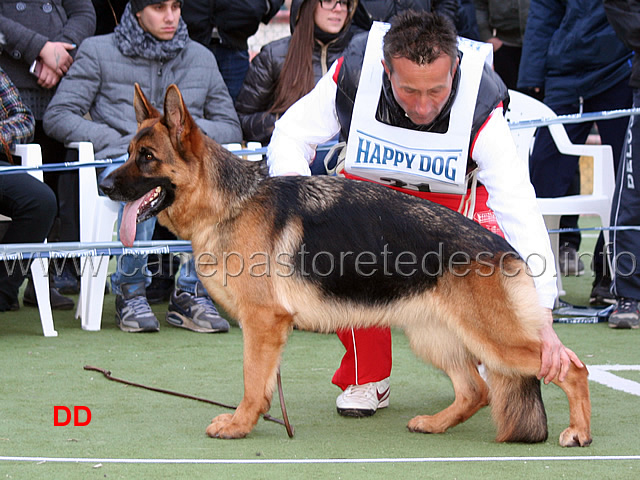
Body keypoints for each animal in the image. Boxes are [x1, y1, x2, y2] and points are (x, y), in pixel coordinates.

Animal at [97, 83, 592, 446]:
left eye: (147, 158)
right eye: (128, 153)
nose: (103, 184)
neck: (228, 203)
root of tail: (503, 246)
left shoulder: (262, 324)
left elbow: (252, 380)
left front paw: (239, 424)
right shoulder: (265, 328)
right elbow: (262, 382)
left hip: (493, 339)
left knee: (570, 367)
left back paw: (579, 431)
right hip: (434, 336)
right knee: (478, 390)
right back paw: (434, 423)